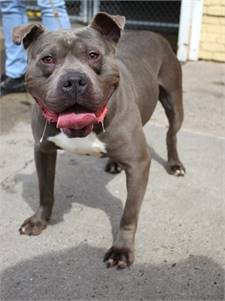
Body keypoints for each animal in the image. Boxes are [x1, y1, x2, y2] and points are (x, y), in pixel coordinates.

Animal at [12, 12, 185, 268]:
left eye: (93, 55)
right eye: (47, 59)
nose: (74, 80)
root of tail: (154, 34)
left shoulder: (139, 163)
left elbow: (129, 213)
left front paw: (121, 249)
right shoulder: (43, 150)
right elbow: (45, 190)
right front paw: (39, 221)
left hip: (174, 103)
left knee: (171, 135)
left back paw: (175, 164)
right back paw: (114, 163)